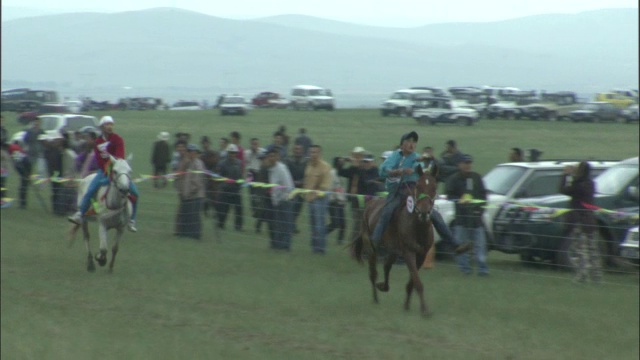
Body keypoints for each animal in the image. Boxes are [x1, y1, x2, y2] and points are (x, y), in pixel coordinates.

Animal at [352, 163, 438, 318]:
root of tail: (370, 204)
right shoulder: (408, 252)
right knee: (373, 273)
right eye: (418, 186)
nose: (424, 212)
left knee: (386, 266)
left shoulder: (421, 254)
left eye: (434, 187)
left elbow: (412, 282)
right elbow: (417, 282)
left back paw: (383, 286)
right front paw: (425, 310)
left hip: (393, 250)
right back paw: (375, 299)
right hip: (371, 246)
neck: (417, 226)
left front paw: (406, 305)